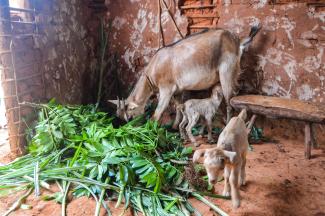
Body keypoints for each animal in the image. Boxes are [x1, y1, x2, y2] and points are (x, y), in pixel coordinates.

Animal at [109, 25, 260, 122]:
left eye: (130, 116)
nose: (129, 126)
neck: (152, 72)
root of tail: (237, 41)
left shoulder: (166, 89)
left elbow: (157, 113)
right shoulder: (177, 90)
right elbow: (179, 108)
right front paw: (176, 128)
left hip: (227, 71)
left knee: (229, 101)